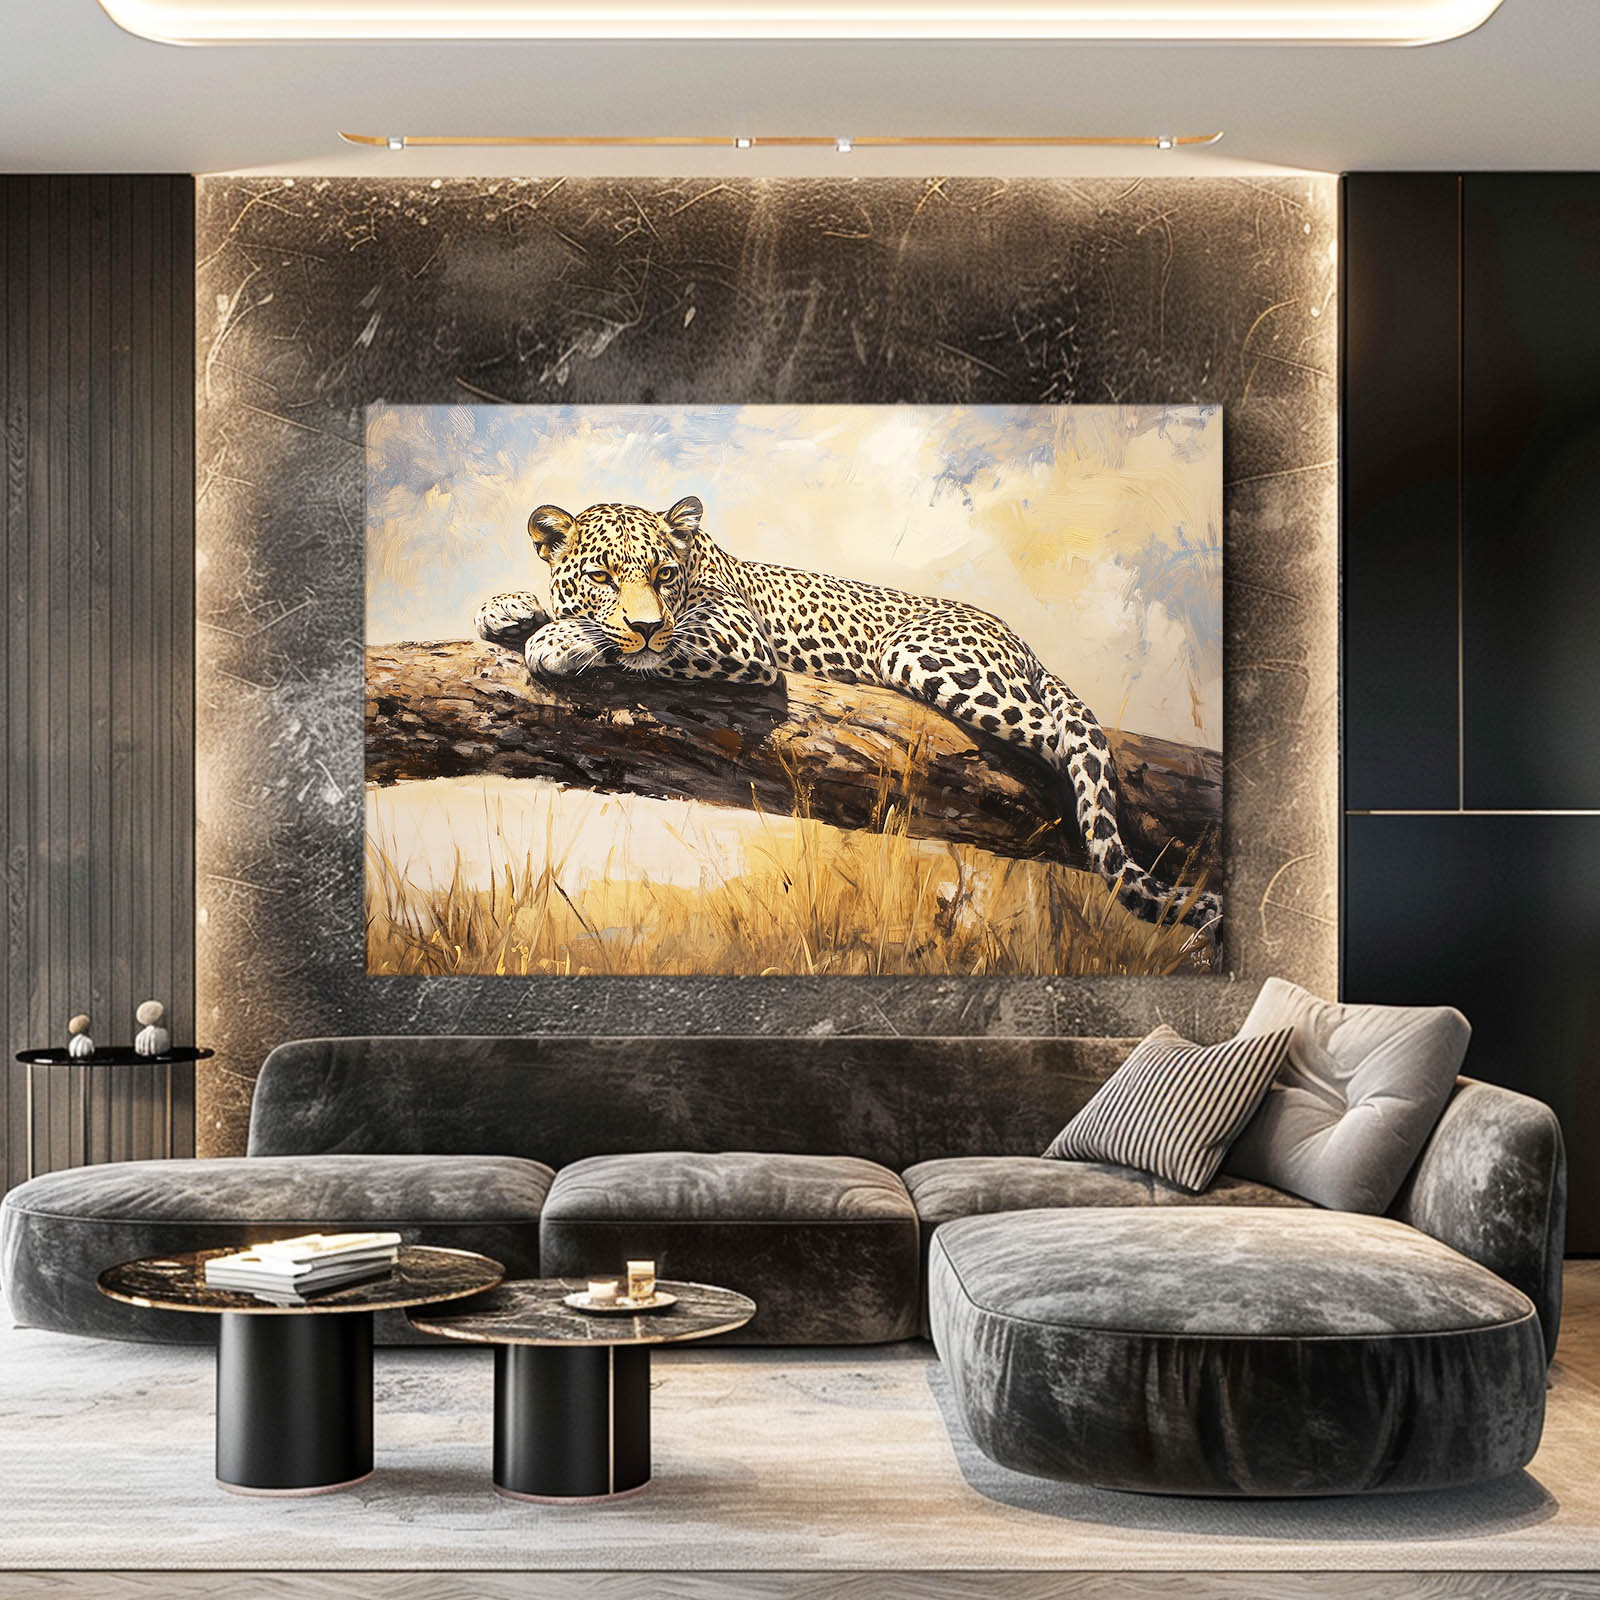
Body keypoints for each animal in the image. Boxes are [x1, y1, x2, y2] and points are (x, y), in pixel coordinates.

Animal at [474, 494, 1221, 937]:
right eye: (601, 575)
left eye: (662, 574)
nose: (645, 622)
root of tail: (1019, 640)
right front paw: (507, 607)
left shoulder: (731, 636)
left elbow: (644, 650)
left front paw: (560, 639)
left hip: (924, 655)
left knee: (1065, 741)